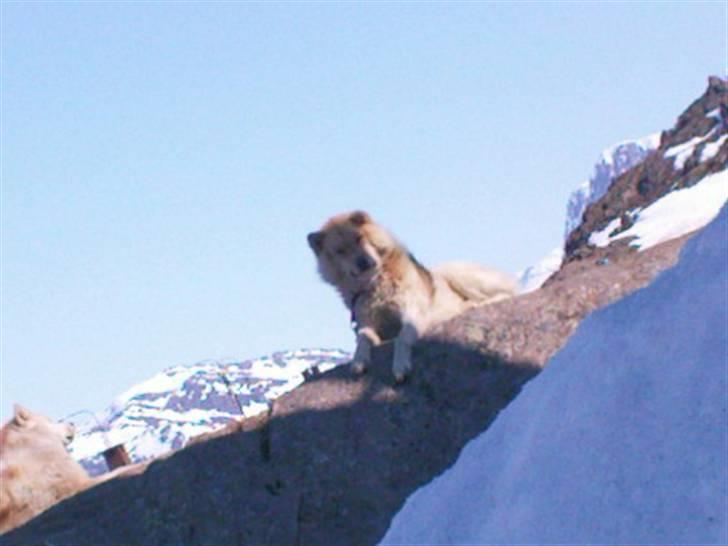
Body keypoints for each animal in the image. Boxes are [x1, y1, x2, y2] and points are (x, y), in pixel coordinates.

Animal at [308, 210, 516, 380]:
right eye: (340, 251)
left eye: (360, 238)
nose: (363, 262)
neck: (375, 284)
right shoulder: (366, 323)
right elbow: (363, 338)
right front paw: (359, 360)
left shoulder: (411, 314)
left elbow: (401, 338)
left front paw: (400, 366)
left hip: (457, 273)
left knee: (509, 293)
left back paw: (475, 305)